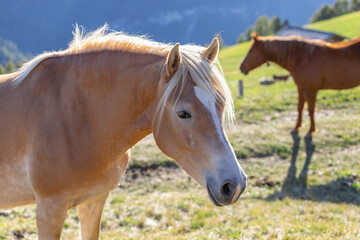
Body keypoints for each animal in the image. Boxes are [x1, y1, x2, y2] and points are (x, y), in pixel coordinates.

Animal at [0, 25, 246, 239]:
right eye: (183, 113)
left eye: (221, 105)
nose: (234, 185)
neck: (76, 116)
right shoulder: (49, 208)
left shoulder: (94, 200)